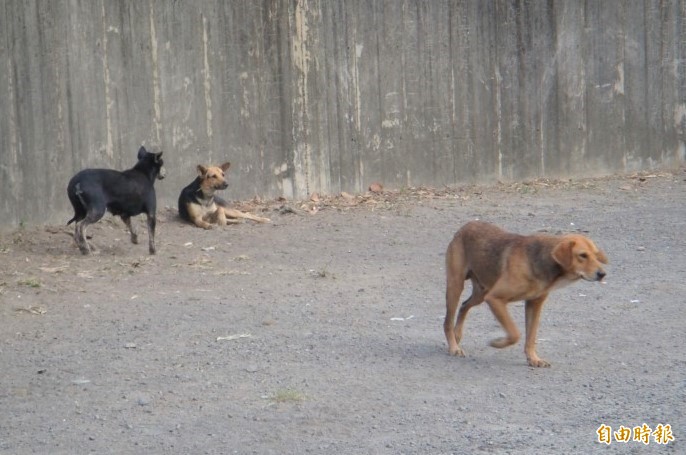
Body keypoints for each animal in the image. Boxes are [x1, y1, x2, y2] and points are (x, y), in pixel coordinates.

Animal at [444, 223, 612, 368]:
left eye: (596, 255)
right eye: (582, 255)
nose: (602, 274)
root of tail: (465, 226)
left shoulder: (534, 304)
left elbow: (531, 337)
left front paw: (533, 358)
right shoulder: (495, 299)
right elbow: (515, 333)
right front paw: (497, 343)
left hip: (481, 292)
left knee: (464, 306)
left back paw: (457, 334)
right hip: (456, 286)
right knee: (448, 321)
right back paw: (454, 346)